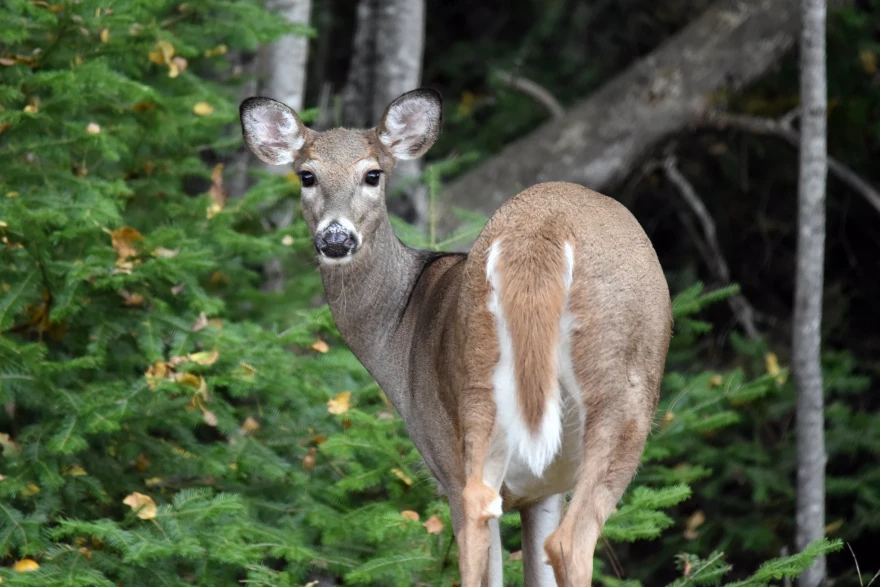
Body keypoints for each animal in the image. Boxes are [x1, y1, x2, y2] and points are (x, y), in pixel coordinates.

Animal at [239, 88, 672, 587]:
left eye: (373, 174)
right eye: (307, 175)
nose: (335, 238)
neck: (401, 329)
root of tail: (542, 235)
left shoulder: (487, 471)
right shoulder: (532, 483)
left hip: (502, 385)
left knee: (503, 518)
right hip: (572, 387)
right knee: (551, 534)